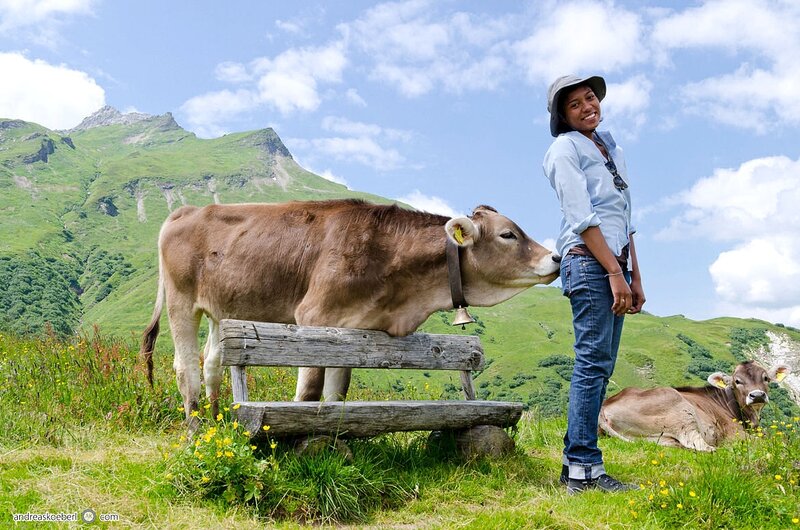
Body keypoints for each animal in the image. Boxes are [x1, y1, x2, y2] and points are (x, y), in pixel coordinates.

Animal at [140, 199, 560, 428]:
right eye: (508, 235)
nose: (556, 257)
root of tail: (186, 211)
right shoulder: (314, 317)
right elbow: (309, 393)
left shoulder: (352, 329)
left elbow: (334, 395)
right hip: (181, 300)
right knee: (186, 368)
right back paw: (196, 429)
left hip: (219, 308)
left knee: (211, 362)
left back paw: (217, 421)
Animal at [598, 361, 792, 451]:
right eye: (737, 381)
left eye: (766, 378)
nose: (757, 395)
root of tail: (604, 406)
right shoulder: (734, 433)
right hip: (682, 412)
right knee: (702, 446)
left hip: (659, 439)